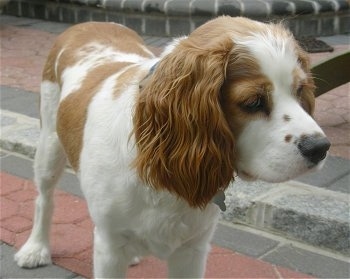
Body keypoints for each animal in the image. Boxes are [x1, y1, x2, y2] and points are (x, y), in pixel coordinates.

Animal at [14, 17, 330, 278]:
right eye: (252, 102)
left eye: (300, 90)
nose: (321, 147)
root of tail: (89, 23)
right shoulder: (108, 246)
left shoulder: (192, 250)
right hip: (48, 146)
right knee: (45, 199)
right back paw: (35, 248)